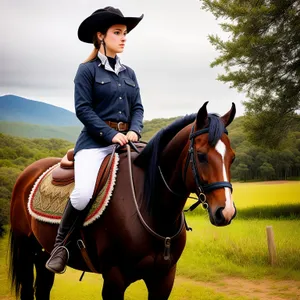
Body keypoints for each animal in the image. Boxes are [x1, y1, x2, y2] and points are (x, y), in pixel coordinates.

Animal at [8, 102, 237, 298]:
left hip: (42, 255)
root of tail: (27, 172)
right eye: (201, 155)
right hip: (26, 251)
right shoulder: (114, 280)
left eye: (232, 157)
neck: (151, 209)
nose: (225, 212)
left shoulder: (163, 279)